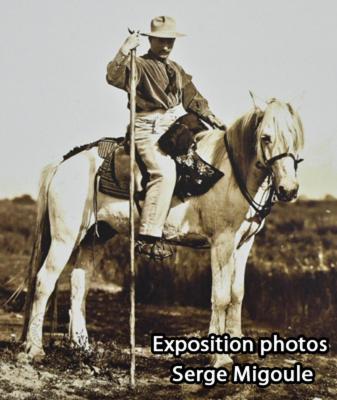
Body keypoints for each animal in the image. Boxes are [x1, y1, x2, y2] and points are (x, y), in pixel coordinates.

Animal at [22, 98, 304, 368]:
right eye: (266, 137)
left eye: (295, 137)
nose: (288, 189)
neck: (231, 173)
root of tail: (62, 163)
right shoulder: (222, 244)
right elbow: (221, 297)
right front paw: (220, 358)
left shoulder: (244, 244)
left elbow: (238, 294)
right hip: (65, 238)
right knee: (44, 281)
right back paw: (34, 349)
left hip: (95, 237)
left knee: (79, 283)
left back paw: (82, 346)